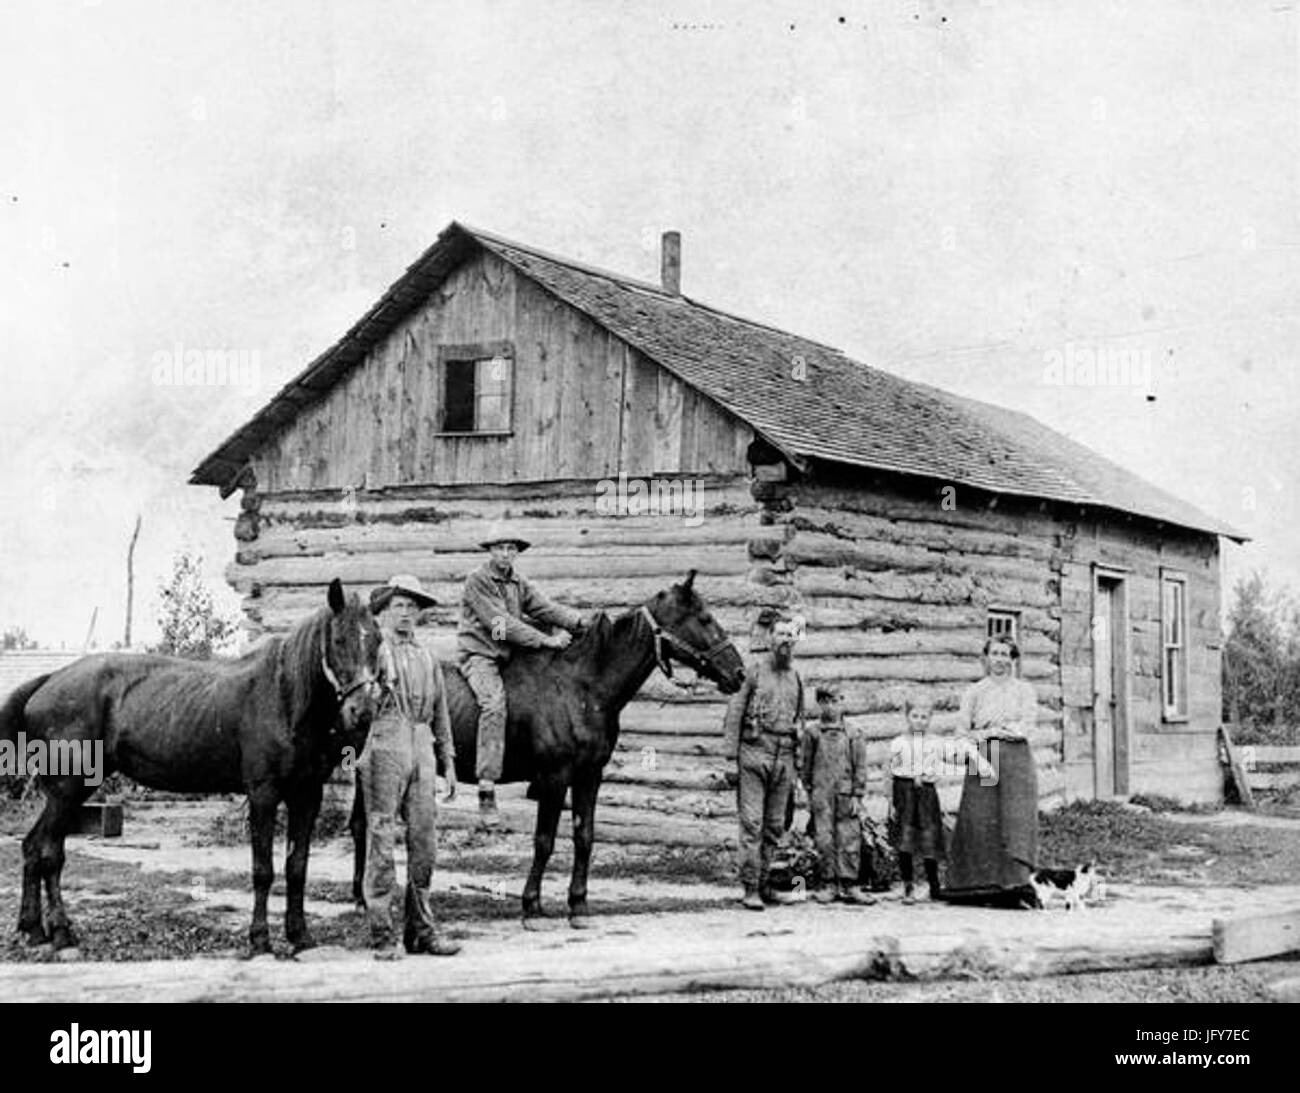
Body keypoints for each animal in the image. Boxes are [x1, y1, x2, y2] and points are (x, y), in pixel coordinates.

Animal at [2, 579, 379, 956]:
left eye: (376, 640)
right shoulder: (263, 795)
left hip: (69, 792)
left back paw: (32, 929)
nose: (363, 711)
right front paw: (260, 939)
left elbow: (297, 866)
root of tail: (47, 682)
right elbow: (263, 869)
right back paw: (61, 932)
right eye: (338, 640)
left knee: (33, 847)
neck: (283, 697)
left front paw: (300, 936)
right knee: (49, 853)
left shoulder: (307, 795)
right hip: (67, 790)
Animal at [353, 571, 743, 920]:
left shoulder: (589, 776)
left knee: (361, 825)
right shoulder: (555, 779)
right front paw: (532, 903)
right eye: (704, 618)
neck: (582, 688)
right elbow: (544, 840)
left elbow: (584, 835)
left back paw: (361, 898)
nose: (738, 673)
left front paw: (578, 902)